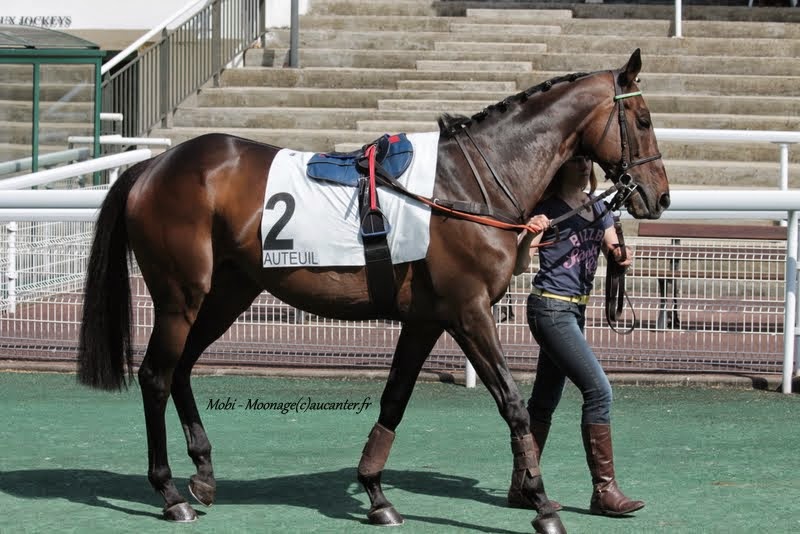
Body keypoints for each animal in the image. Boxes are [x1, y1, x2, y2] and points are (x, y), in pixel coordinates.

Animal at [78, 48, 668, 532]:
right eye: (642, 119)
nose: (658, 197)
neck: (468, 187)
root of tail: (152, 165)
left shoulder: (427, 319)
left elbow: (396, 399)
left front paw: (376, 493)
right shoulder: (469, 311)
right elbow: (513, 403)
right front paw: (542, 503)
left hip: (227, 293)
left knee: (180, 368)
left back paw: (202, 473)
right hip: (180, 296)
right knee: (155, 376)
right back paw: (169, 493)